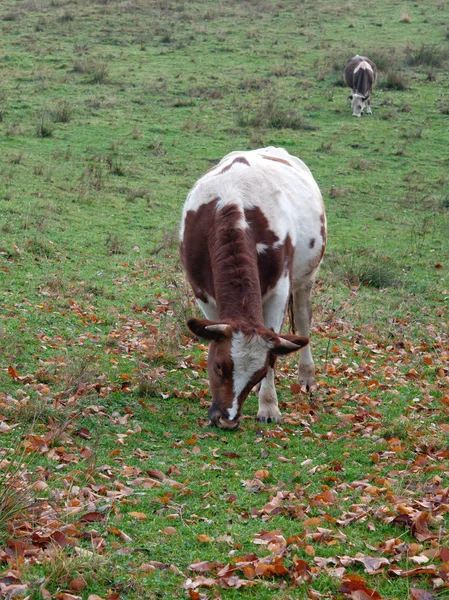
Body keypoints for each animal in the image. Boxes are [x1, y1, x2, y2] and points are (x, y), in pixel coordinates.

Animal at [179, 146, 326, 428]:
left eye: (258, 374)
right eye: (219, 366)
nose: (227, 421)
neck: (230, 203)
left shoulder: (279, 290)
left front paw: (268, 405)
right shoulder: (203, 293)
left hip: (306, 277)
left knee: (303, 318)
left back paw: (307, 376)